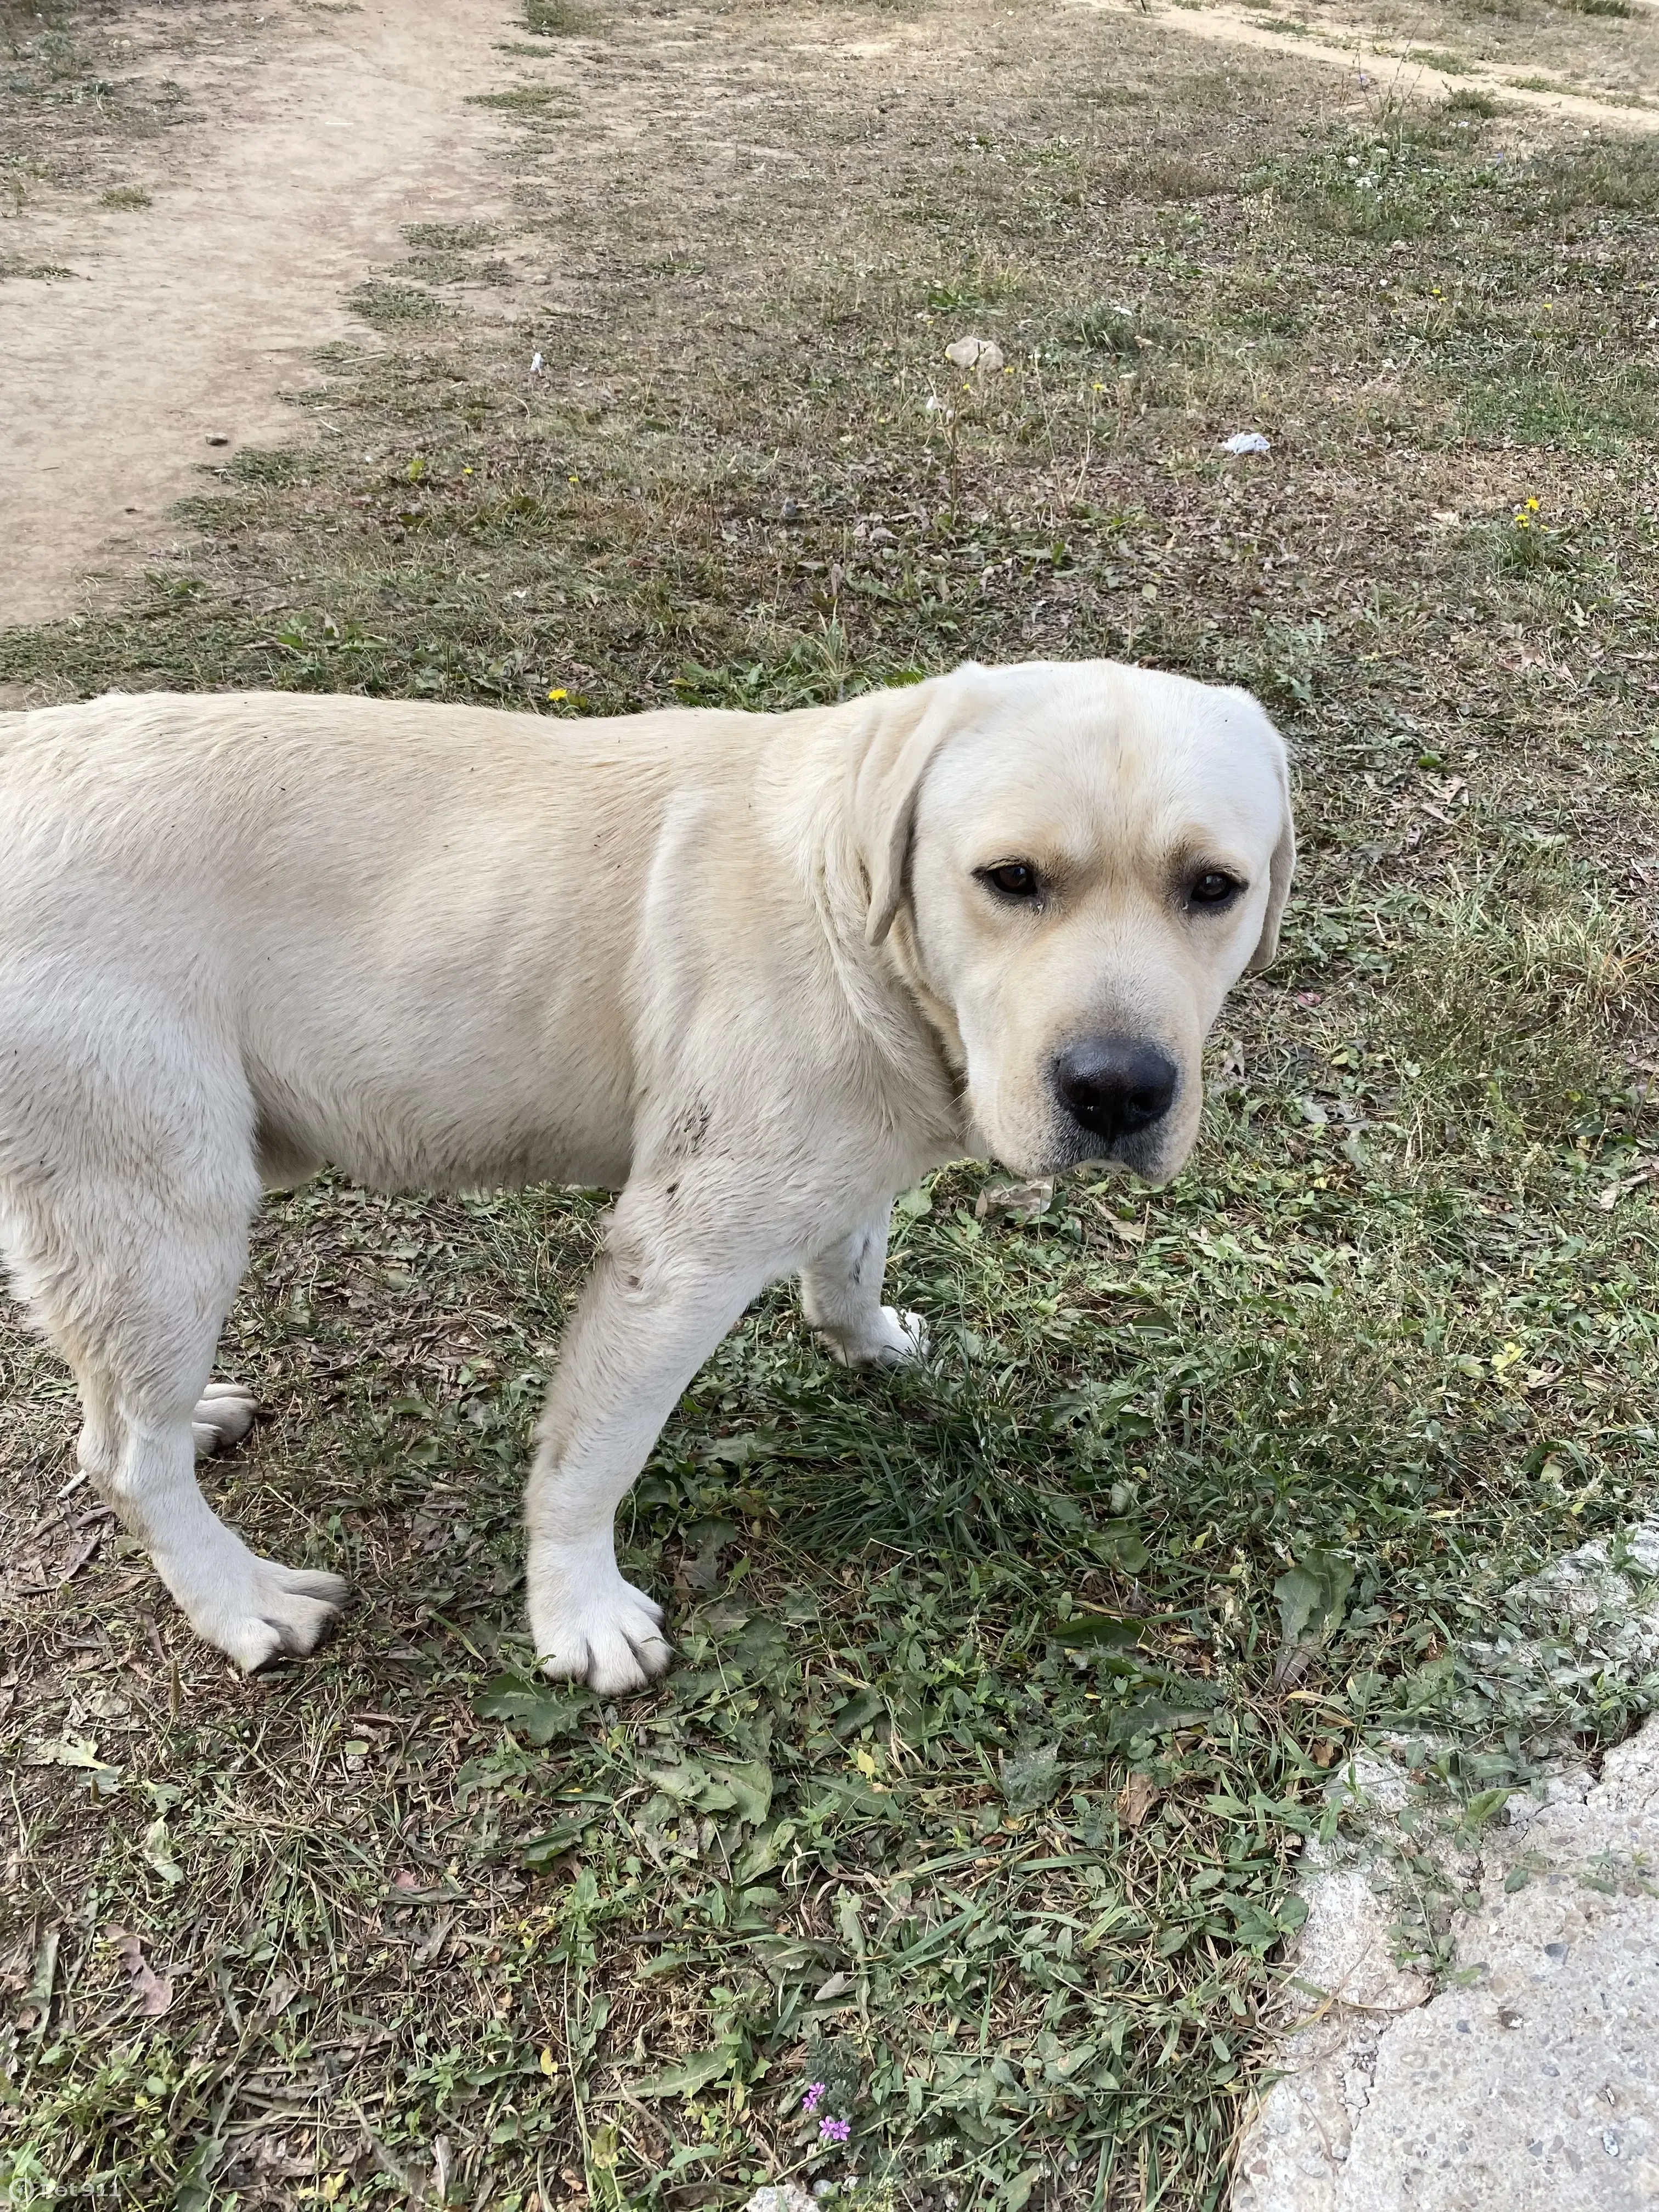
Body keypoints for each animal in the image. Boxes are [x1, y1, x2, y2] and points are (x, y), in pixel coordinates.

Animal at [0, 654, 1291, 1690]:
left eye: (1213, 889)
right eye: (1010, 879)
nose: (1118, 1090)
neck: (850, 908)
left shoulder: (843, 1161)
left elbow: (851, 1256)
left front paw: (867, 1340)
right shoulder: (675, 1259)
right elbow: (591, 1457)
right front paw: (578, 1613)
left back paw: (199, 1416)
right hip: (164, 1203)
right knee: (123, 1457)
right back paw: (239, 1600)